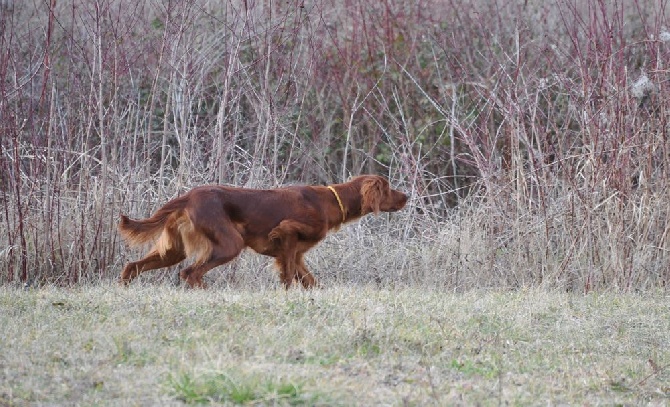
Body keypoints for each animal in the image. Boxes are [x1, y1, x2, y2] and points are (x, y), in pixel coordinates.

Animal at [118, 177, 406, 288]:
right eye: (389, 188)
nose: (407, 197)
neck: (329, 202)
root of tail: (188, 196)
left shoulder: (296, 254)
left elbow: (309, 281)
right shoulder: (287, 234)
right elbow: (288, 277)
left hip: (174, 250)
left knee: (132, 266)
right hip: (230, 244)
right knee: (191, 272)